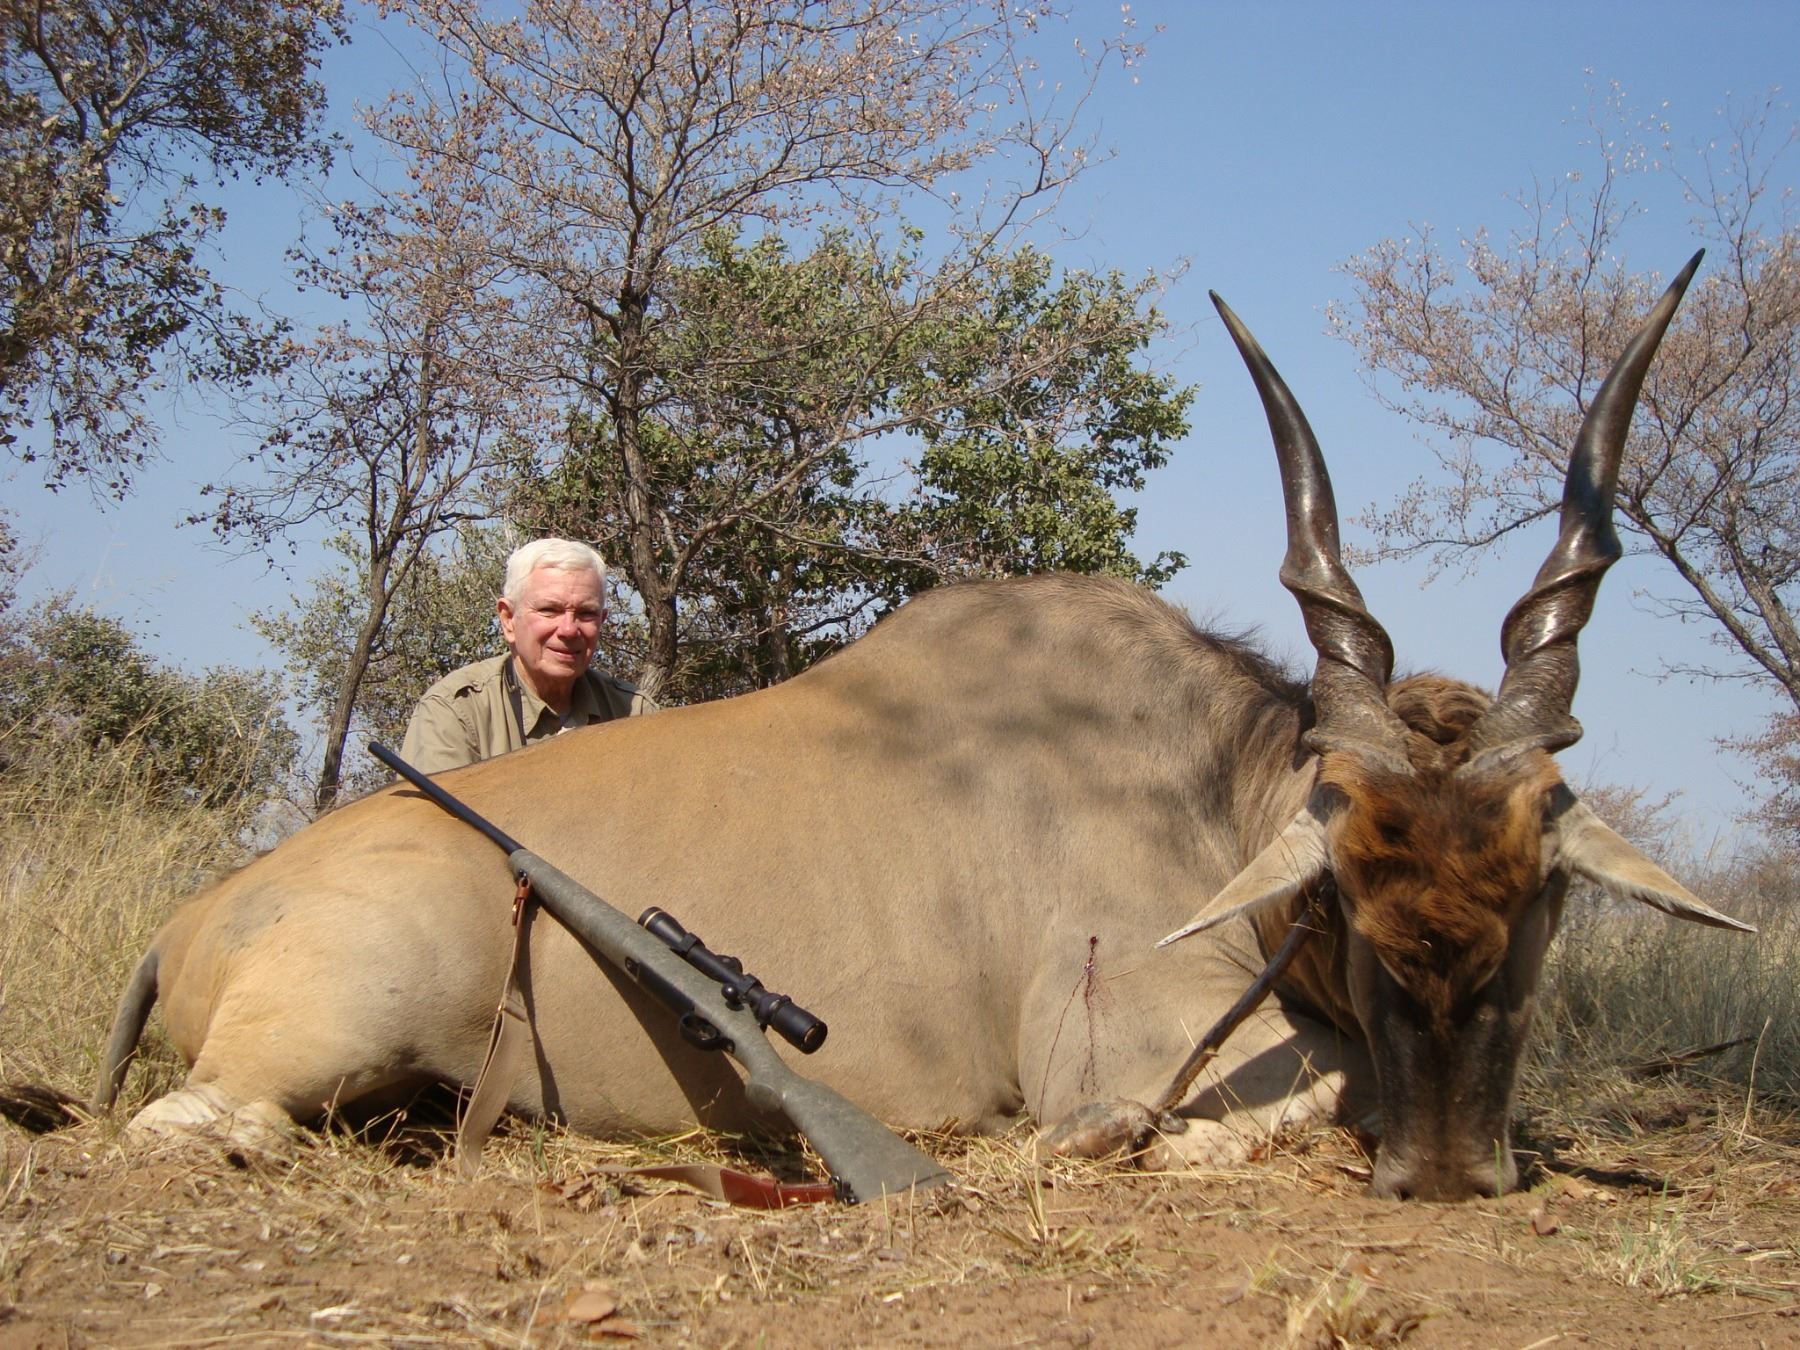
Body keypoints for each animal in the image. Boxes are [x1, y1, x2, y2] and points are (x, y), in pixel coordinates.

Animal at [93, 254, 1747, 1202]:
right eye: (1344, 877)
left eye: (1544, 888)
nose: (1453, 1167)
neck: (1212, 790)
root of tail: (190, 921)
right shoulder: (1128, 1041)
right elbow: (1258, 1104)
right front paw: (1069, 1146)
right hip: (317, 1028)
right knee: (192, 1127)